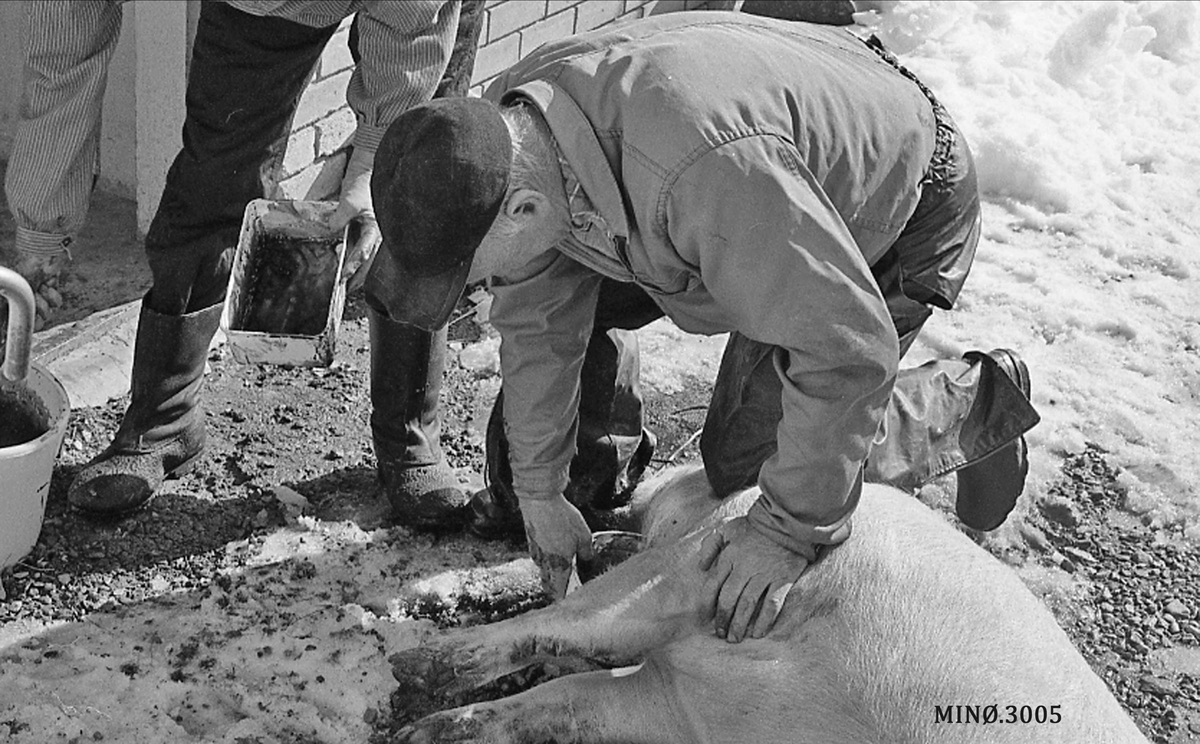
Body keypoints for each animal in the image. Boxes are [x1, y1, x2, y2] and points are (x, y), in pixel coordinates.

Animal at [388, 463, 1147, 739]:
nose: (602, 534)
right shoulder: (680, 707)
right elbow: (566, 693)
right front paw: (418, 730)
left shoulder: (706, 561)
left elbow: (581, 626)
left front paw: (418, 683)